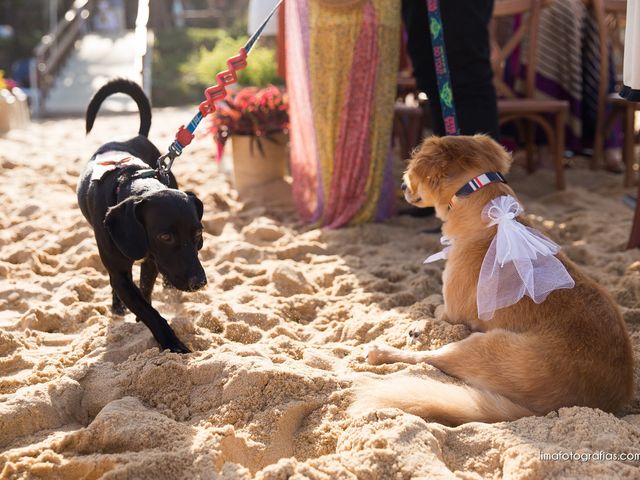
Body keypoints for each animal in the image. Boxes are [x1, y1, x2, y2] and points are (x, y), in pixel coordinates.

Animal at [78, 79, 206, 352]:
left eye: (198, 234)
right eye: (165, 236)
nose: (199, 282)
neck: (130, 181)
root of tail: (136, 136)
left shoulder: (151, 262)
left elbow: (145, 294)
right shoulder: (120, 272)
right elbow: (148, 310)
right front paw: (171, 343)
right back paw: (117, 306)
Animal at [352, 134, 632, 424]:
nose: (401, 185)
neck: (487, 212)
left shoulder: (453, 311)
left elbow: (437, 309)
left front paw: (423, 316)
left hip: (483, 347)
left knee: (431, 359)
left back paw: (382, 351)